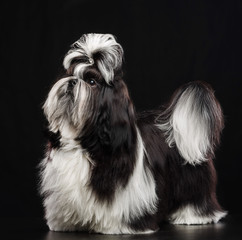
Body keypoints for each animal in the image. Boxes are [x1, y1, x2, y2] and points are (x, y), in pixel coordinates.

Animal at [39, 32, 227, 233]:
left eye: (91, 82)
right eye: (70, 75)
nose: (72, 81)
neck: (85, 140)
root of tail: (174, 127)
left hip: (191, 179)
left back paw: (194, 215)